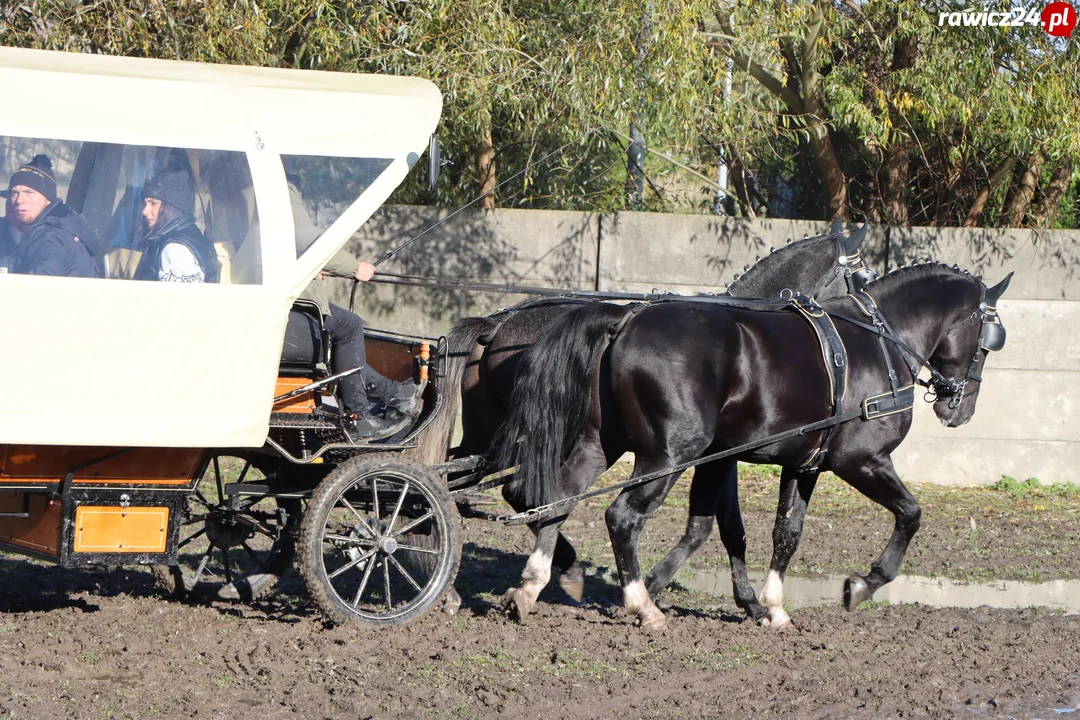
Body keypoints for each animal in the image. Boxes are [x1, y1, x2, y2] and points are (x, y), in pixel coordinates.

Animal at [406, 227, 876, 617]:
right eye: (863, 277)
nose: (868, 323)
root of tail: (498, 323)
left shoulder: (714, 456)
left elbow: (715, 526)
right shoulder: (718, 456)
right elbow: (723, 528)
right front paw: (747, 603)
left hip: (485, 439)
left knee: (461, 486)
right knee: (513, 492)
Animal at [496, 266, 1010, 630]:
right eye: (988, 342)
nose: (959, 409)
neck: (881, 343)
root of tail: (625, 319)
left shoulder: (802, 466)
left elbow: (784, 532)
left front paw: (773, 607)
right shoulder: (861, 461)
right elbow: (910, 513)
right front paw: (863, 585)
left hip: (601, 444)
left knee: (555, 500)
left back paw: (531, 587)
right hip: (669, 455)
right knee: (622, 517)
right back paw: (643, 606)